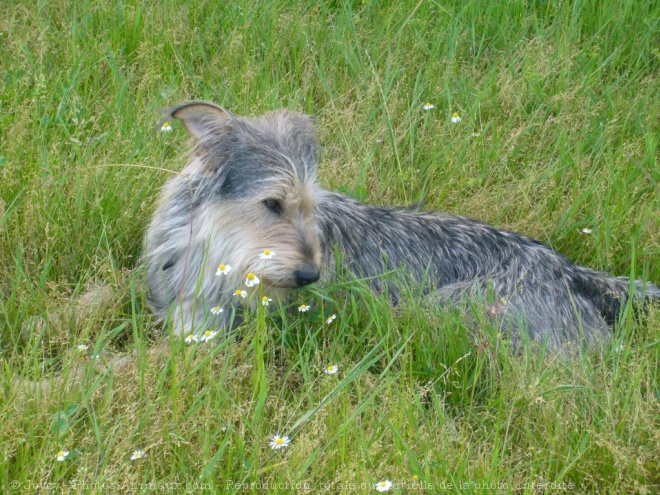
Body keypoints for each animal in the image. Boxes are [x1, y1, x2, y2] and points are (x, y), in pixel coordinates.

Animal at [143, 101, 656, 352]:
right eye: (273, 204)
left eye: (311, 208)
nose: (311, 277)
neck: (217, 246)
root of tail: (569, 270)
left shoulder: (211, 332)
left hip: (451, 308)